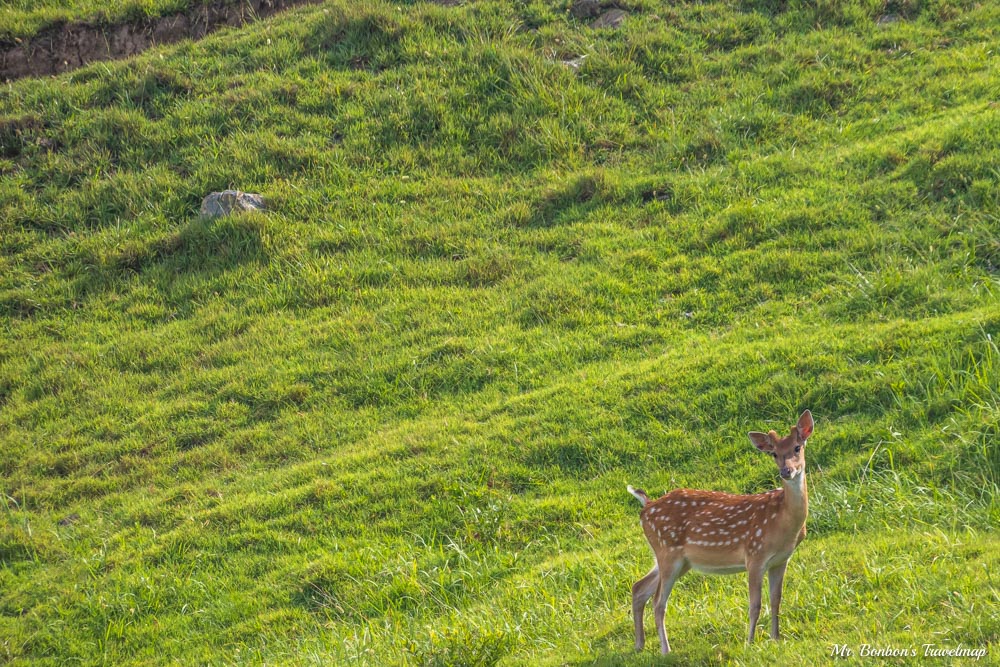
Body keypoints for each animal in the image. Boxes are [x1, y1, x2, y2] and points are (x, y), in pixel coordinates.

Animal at [628, 410, 816, 656]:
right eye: (774, 453)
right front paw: (750, 643)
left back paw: (639, 644)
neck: (782, 523)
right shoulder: (754, 555)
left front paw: (776, 638)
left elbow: (776, 600)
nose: (786, 471)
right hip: (668, 552)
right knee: (658, 602)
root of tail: (646, 507)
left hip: (676, 559)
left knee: (639, 588)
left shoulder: (781, 560)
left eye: (797, 447)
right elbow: (755, 605)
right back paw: (666, 650)